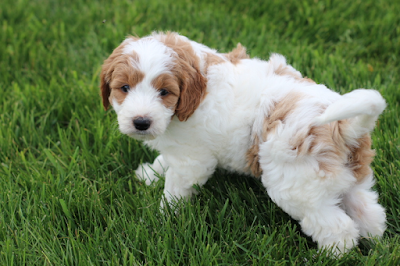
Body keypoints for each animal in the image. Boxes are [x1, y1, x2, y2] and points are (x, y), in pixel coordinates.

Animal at [101, 31, 388, 254]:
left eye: (164, 92)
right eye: (124, 88)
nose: (141, 122)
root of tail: (342, 127)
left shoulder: (193, 161)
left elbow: (174, 189)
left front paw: (161, 219)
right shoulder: (180, 149)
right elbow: (165, 161)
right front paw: (149, 173)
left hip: (298, 188)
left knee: (338, 229)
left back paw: (331, 256)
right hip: (352, 177)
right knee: (369, 212)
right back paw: (376, 246)